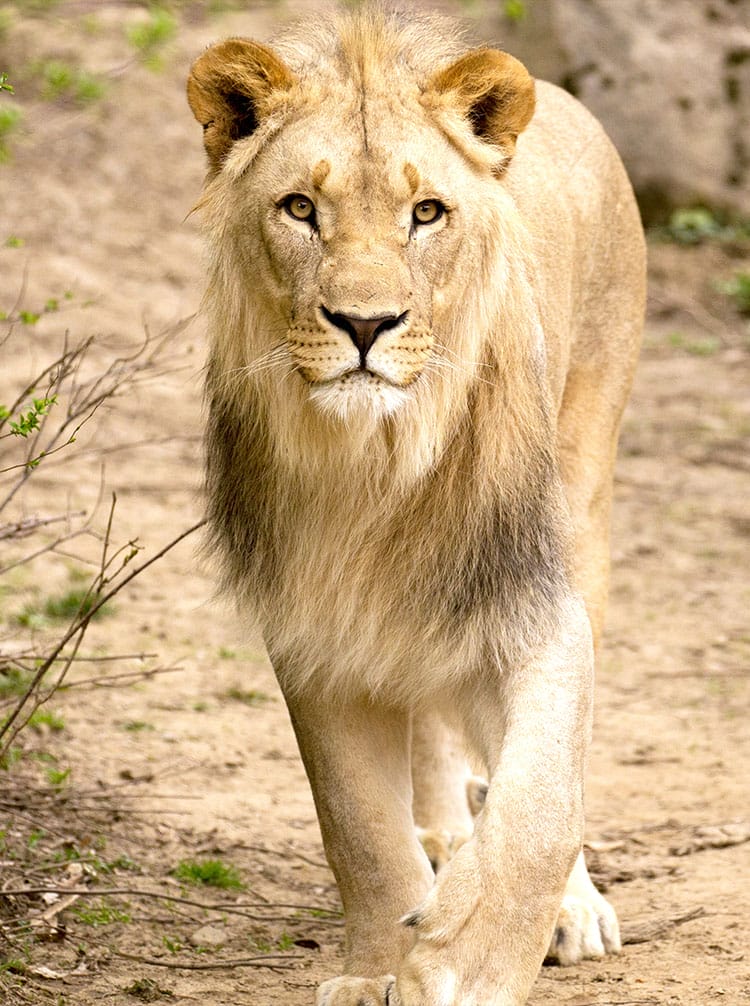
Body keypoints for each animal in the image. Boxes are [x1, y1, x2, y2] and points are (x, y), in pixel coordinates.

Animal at [187, 6, 645, 1005]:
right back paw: (441, 839)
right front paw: (376, 970)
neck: (379, 467)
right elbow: (357, 825)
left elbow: (543, 799)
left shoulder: (537, 602)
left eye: (426, 212)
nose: (365, 325)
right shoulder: (314, 628)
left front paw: (469, 958)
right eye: (300, 209)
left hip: (586, 484)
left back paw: (567, 904)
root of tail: (564, 98)